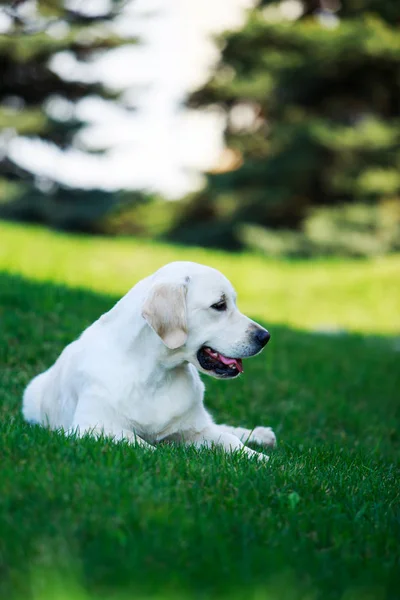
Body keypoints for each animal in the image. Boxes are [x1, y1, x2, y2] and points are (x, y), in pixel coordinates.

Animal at [22, 260, 276, 462]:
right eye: (219, 305)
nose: (265, 337)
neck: (157, 375)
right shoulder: (92, 427)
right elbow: (142, 444)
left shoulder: (193, 430)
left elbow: (229, 439)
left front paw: (262, 460)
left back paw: (262, 435)